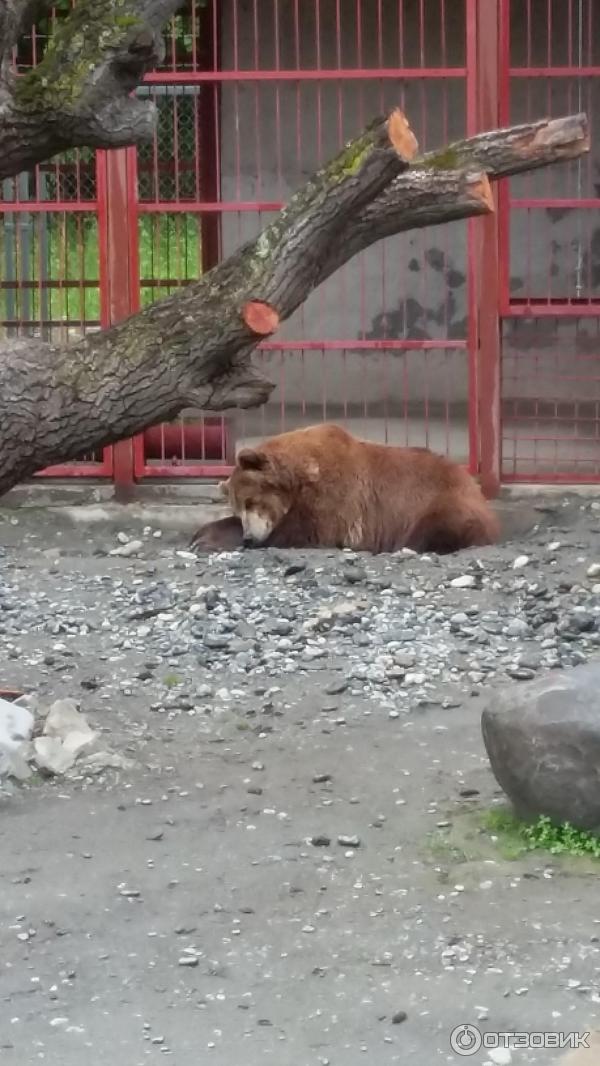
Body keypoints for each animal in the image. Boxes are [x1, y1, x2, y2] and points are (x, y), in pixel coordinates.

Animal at [189, 424, 500, 558]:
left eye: (252, 501)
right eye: (239, 507)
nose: (250, 537)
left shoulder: (336, 500)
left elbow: (299, 531)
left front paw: (208, 541)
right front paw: (201, 534)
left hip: (441, 501)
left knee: (437, 527)